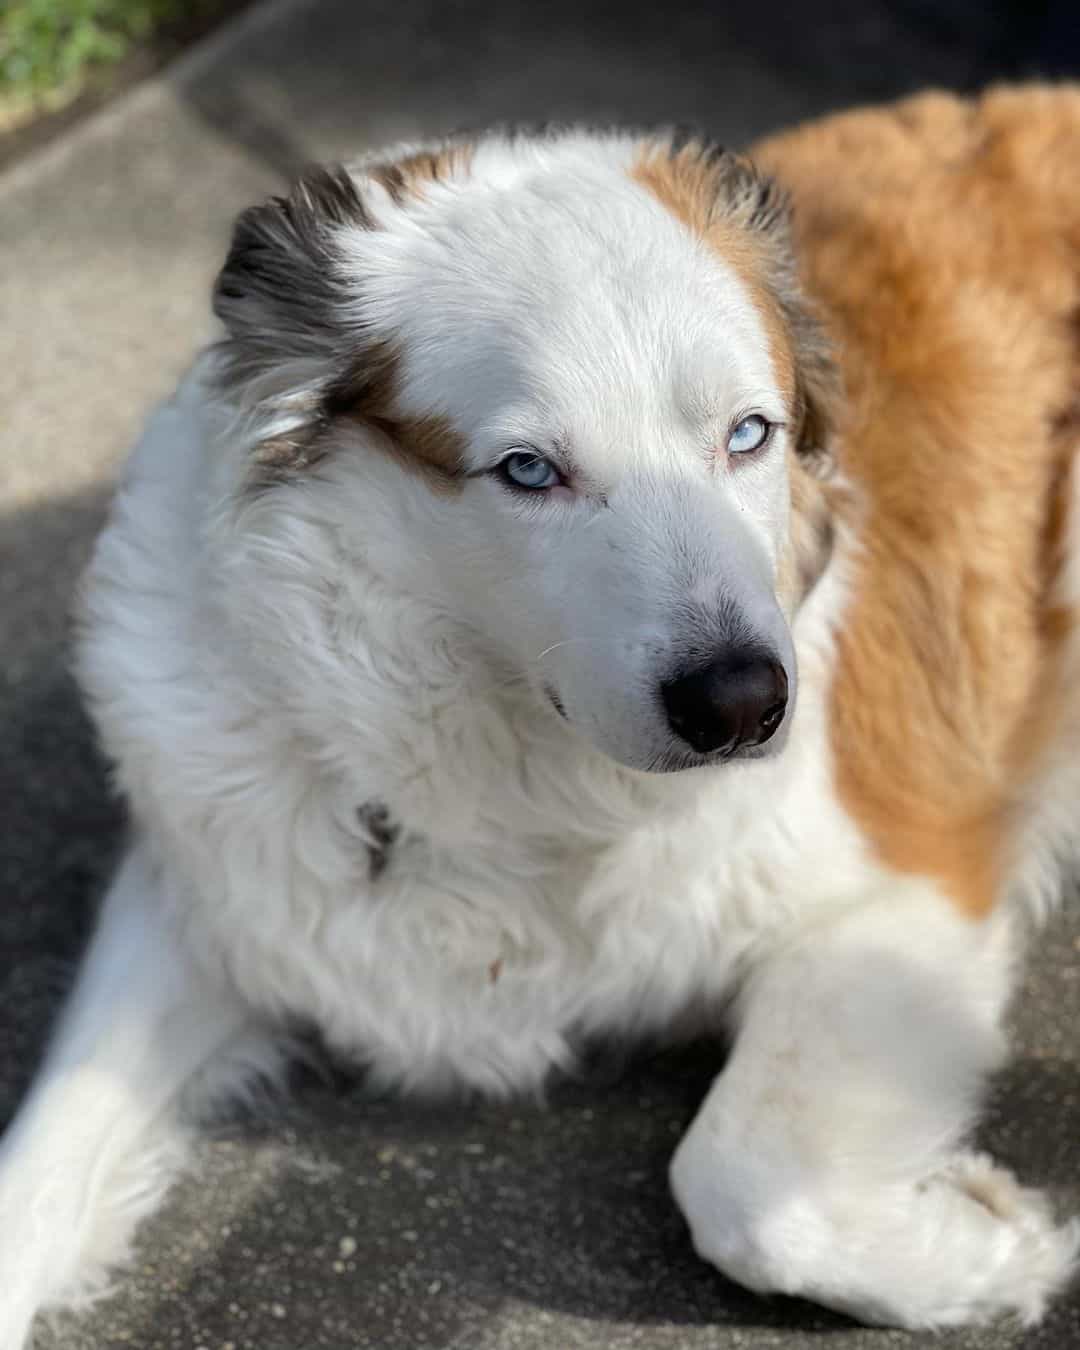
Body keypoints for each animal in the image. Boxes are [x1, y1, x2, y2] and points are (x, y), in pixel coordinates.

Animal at [2, 81, 1080, 1339]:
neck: (506, 773)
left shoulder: (904, 884)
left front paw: (986, 1248)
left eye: (747, 434)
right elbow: (31, 1190)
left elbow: (740, 1183)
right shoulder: (210, 891)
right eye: (527, 470)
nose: (744, 706)